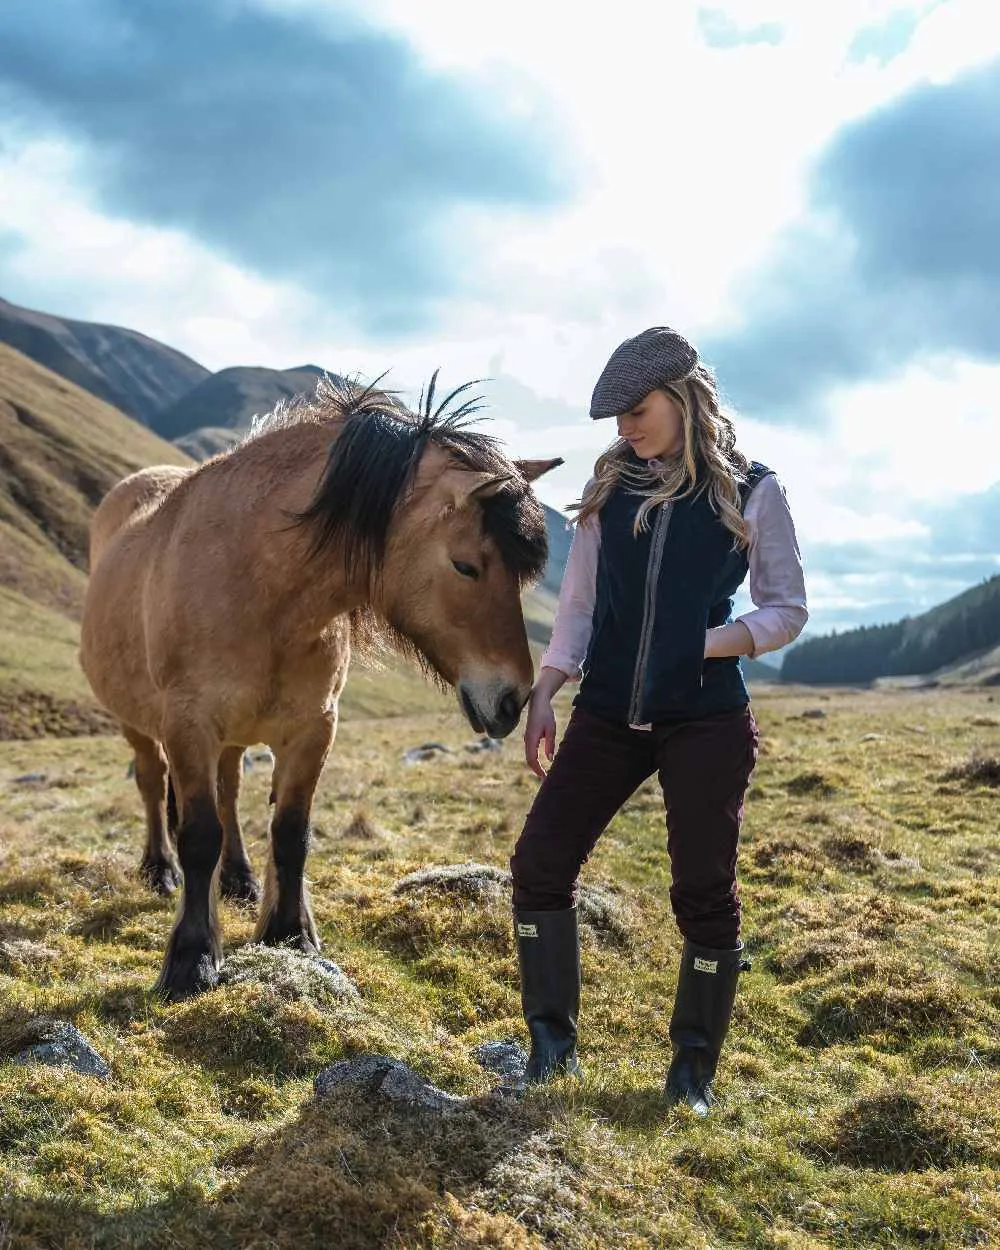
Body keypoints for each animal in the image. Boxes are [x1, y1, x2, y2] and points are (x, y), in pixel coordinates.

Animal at [80, 375, 562, 1000]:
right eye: (465, 566)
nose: (512, 700)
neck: (260, 583)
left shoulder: (313, 728)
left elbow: (291, 834)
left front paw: (289, 935)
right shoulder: (188, 725)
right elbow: (199, 835)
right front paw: (191, 959)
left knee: (230, 792)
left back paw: (238, 879)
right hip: (140, 726)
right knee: (152, 783)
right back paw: (159, 870)